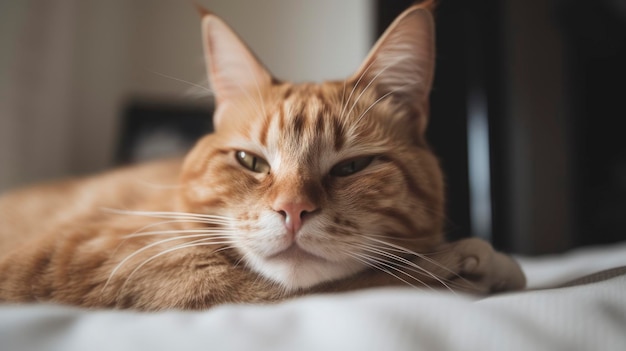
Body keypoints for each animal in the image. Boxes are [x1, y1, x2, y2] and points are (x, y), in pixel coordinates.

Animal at [0, 2, 520, 310]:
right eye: (251, 162)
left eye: (352, 167)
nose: (293, 210)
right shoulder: (97, 263)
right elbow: (361, 281)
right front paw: (461, 262)